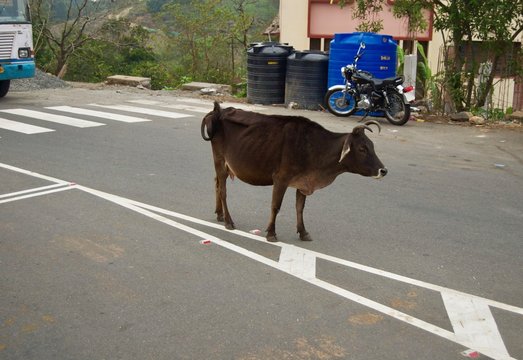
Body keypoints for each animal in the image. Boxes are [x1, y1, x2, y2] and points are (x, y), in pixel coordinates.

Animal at [203, 101, 386, 242]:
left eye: (372, 145)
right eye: (362, 148)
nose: (383, 170)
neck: (314, 147)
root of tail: (218, 111)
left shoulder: (303, 182)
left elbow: (300, 208)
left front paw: (303, 232)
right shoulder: (280, 179)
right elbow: (275, 206)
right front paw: (271, 233)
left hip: (222, 166)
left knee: (216, 183)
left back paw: (219, 214)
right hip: (220, 161)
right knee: (223, 190)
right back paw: (228, 221)